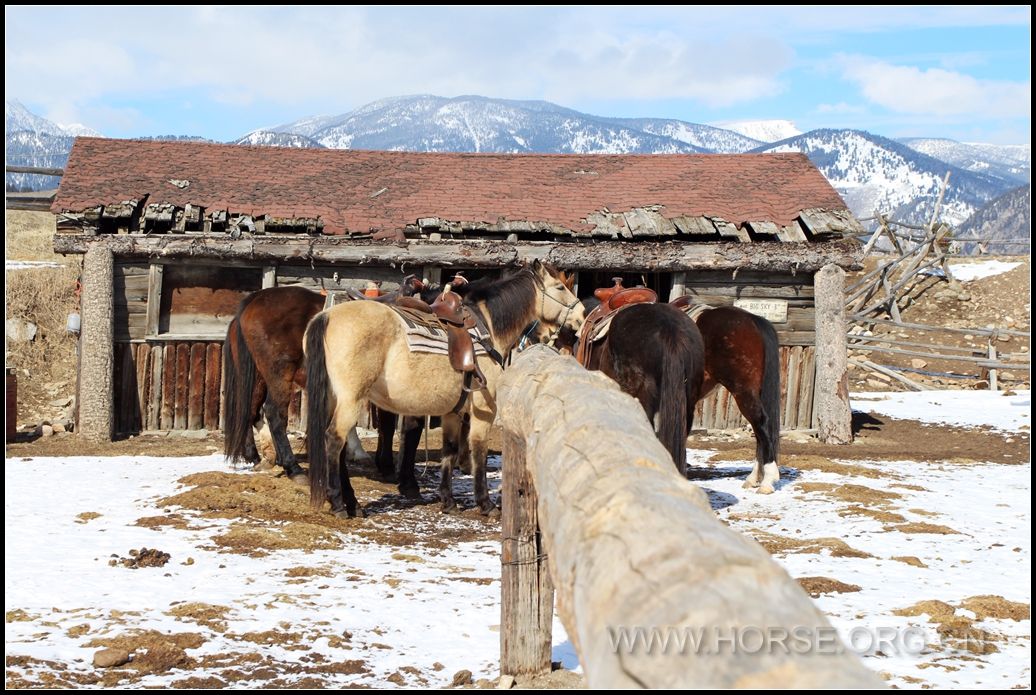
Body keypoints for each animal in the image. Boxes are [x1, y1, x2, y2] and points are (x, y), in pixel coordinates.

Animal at [302, 261, 588, 515]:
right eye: (560, 287)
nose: (582, 315)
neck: (488, 327)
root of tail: (327, 316)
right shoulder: (484, 409)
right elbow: (479, 450)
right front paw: (486, 504)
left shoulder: (453, 411)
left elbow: (449, 451)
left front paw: (448, 501)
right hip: (351, 399)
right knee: (334, 440)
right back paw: (339, 504)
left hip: (334, 398)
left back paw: (352, 504)